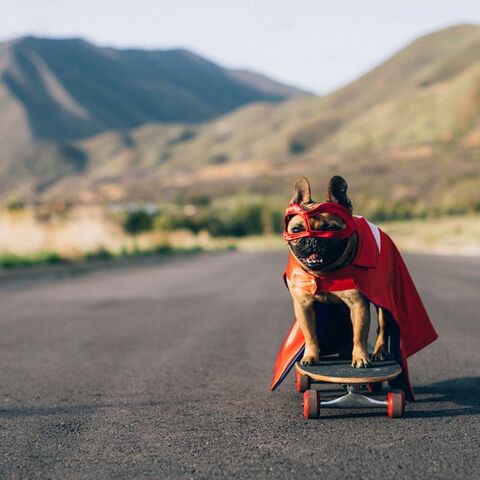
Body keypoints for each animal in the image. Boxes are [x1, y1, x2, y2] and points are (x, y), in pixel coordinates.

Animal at [272, 176, 436, 402]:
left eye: (330, 229)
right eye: (297, 230)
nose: (312, 239)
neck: (327, 272)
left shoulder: (359, 304)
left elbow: (359, 334)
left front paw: (360, 359)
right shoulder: (304, 305)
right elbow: (310, 332)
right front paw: (311, 356)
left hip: (382, 301)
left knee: (382, 327)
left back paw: (378, 352)